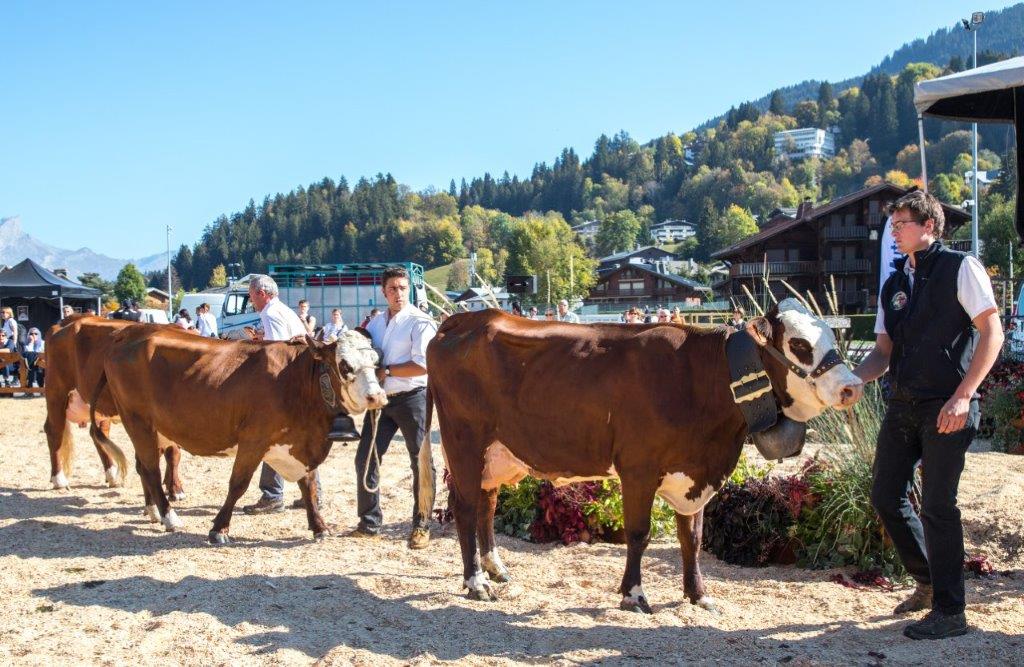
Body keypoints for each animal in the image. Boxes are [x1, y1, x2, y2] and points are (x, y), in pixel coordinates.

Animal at [44, 315, 184, 497]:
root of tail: (68, 319)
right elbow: (169, 451)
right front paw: (173, 488)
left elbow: (172, 451)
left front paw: (172, 486)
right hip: (56, 391)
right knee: (54, 431)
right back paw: (58, 479)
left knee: (97, 434)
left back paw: (111, 475)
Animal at [89, 327, 387, 540]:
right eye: (344, 365)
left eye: (376, 361)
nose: (378, 396)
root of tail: (128, 332)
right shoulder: (253, 441)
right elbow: (238, 485)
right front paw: (219, 529)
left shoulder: (299, 447)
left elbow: (309, 486)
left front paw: (319, 526)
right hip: (138, 421)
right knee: (150, 469)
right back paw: (170, 517)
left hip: (155, 429)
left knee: (143, 466)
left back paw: (153, 512)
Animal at [419, 299, 860, 614]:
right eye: (799, 345)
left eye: (832, 335)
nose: (853, 386)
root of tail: (466, 319)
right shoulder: (638, 468)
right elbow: (638, 533)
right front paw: (633, 594)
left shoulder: (693, 474)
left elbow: (692, 537)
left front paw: (698, 595)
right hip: (464, 441)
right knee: (465, 507)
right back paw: (476, 582)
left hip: (497, 454)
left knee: (487, 505)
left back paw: (495, 569)